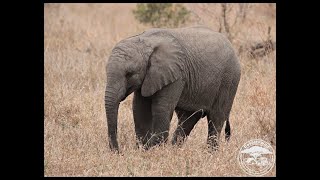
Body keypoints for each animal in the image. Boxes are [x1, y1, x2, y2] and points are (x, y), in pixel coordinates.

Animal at [105, 25, 240, 152]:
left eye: (129, 74)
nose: (119, 152)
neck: (145, 41)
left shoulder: (176, 75)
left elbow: (161, 109)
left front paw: (153, 150)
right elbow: (140, 109)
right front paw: (143, 149)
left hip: (229, 80)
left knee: (216, 119)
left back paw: (210, 154)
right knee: (187, 120)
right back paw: (176, 150)